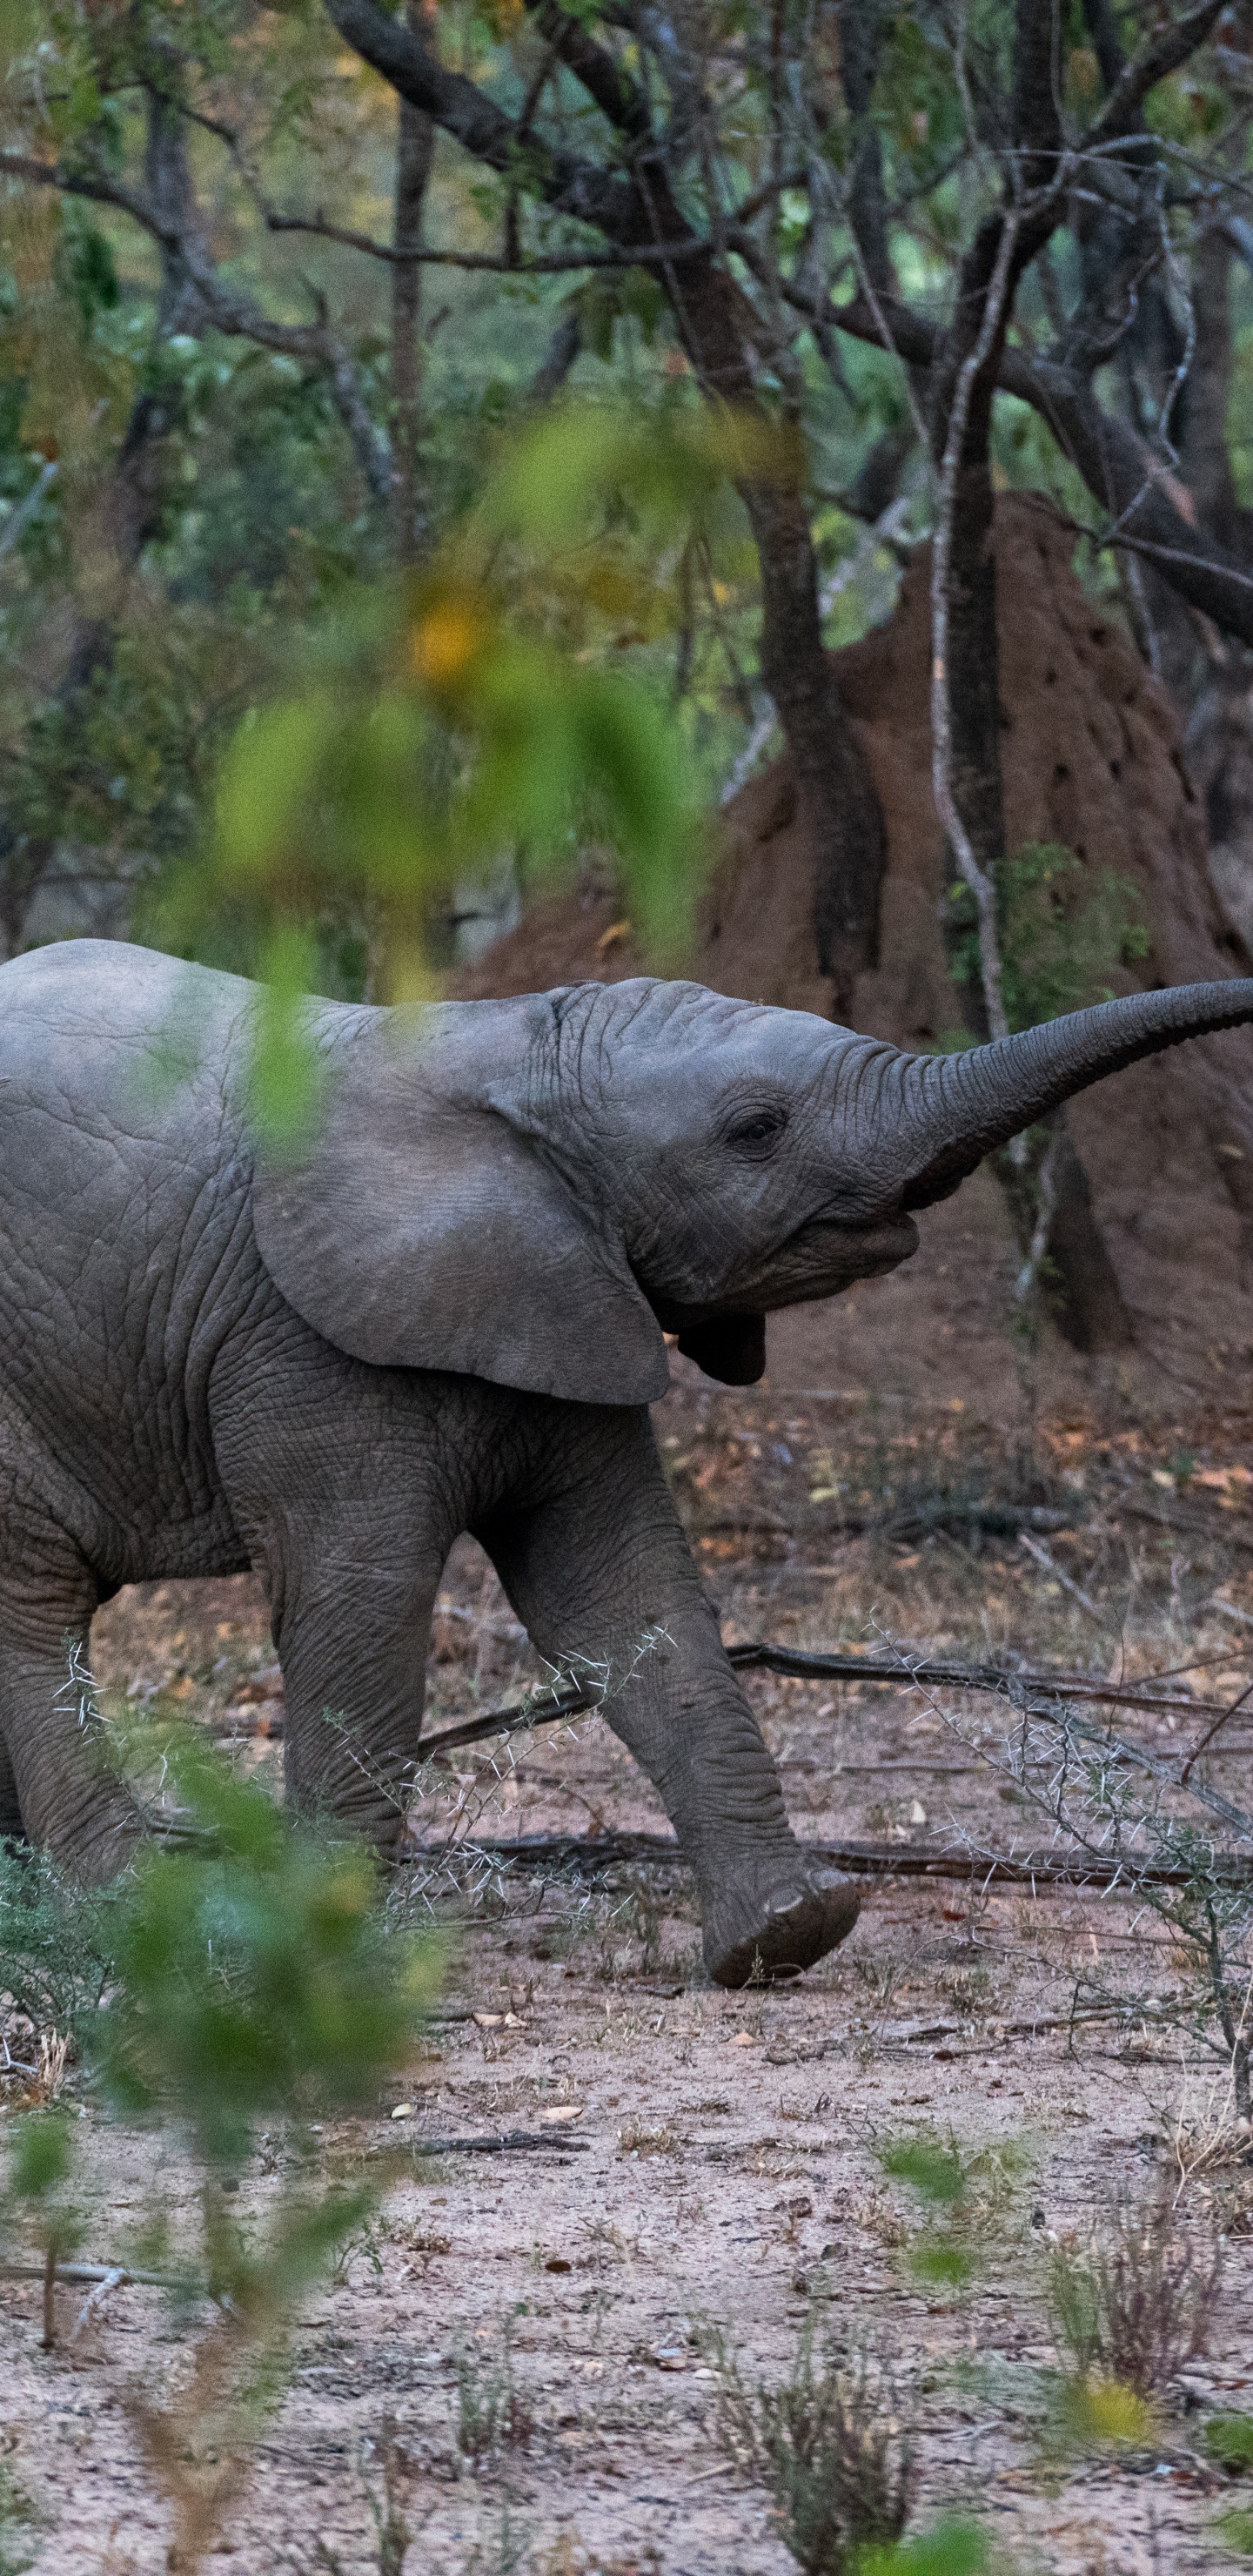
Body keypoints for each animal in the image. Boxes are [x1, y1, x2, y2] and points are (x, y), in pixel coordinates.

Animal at [2, 939, 1251, 1985]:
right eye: (756, 1128)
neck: (511, 1046)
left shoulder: (569, 1291)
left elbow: (623, 1596)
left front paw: (786, 1937)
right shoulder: (305, 1339)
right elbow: (362, 1608)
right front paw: (316, 1966)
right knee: (32, 1613)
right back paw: (128, 1922)